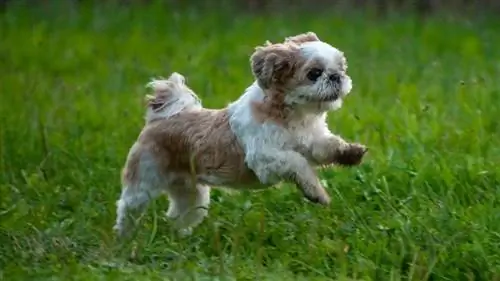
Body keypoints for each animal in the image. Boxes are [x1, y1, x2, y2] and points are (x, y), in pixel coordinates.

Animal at [115, 31, 370, 237]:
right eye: (314, 73)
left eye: (341, 68)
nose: (336, 76)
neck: (293, 116)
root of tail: (160, 119)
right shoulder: (265, 158)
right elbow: (299, 164)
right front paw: (316, 193)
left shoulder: (310, 140)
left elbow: (326, 146)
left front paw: (350, 153)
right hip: (144, 180)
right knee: (128, 208)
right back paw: (125, 238)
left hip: (191, 193)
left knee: (181, 214)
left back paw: (181, 237)